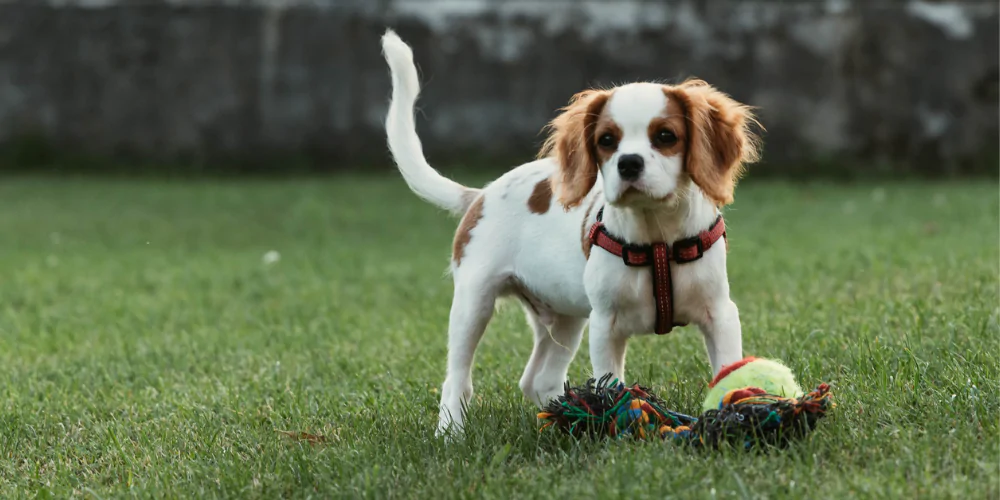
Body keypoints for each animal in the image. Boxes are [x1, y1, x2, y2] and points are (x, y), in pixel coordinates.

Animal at [378, 29, 760, 434]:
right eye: (606, 141)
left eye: (666, 136)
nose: (628, 163)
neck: (657, 237)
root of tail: (481, 194)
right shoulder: (606, 325)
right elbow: (613, 387)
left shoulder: (720, 314)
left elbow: (727, 372)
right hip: (473, 302)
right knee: (458, 379)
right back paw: (451, 434)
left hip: (564, 317)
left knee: (537, 379)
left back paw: (563, 415)